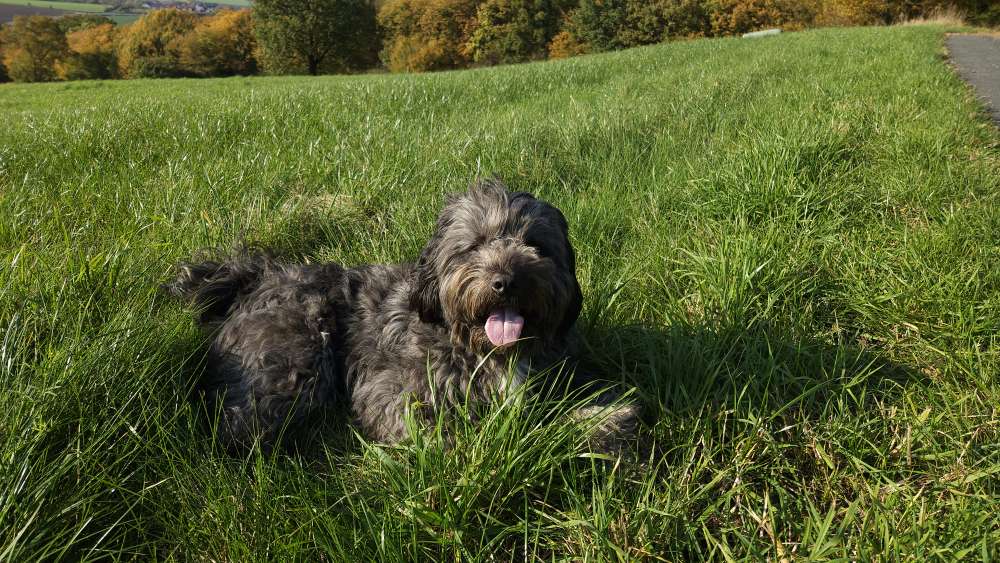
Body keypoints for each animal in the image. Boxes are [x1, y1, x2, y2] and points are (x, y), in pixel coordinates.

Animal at [163, 181, 632, 454]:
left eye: (535, 244)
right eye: (474, 245)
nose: (506, 281)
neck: (478, 346)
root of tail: (254, 277)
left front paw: (604, 420)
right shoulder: (391, 389)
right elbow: (437, 432)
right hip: (294, 359)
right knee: (237, 423)